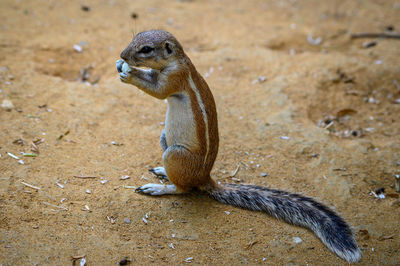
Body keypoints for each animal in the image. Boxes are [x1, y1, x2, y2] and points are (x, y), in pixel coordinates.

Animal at [115, 29, 362, 262]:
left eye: (146, 49)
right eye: (136, 37)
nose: (122, 55)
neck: (177, 60)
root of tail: (205, 178)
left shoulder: (174, 78)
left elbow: (157, 91)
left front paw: (128, 73)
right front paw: (121, 66)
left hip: (175, 154)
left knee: (183, 189)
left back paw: (158, 188)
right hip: (165, 137)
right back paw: (162, 172)